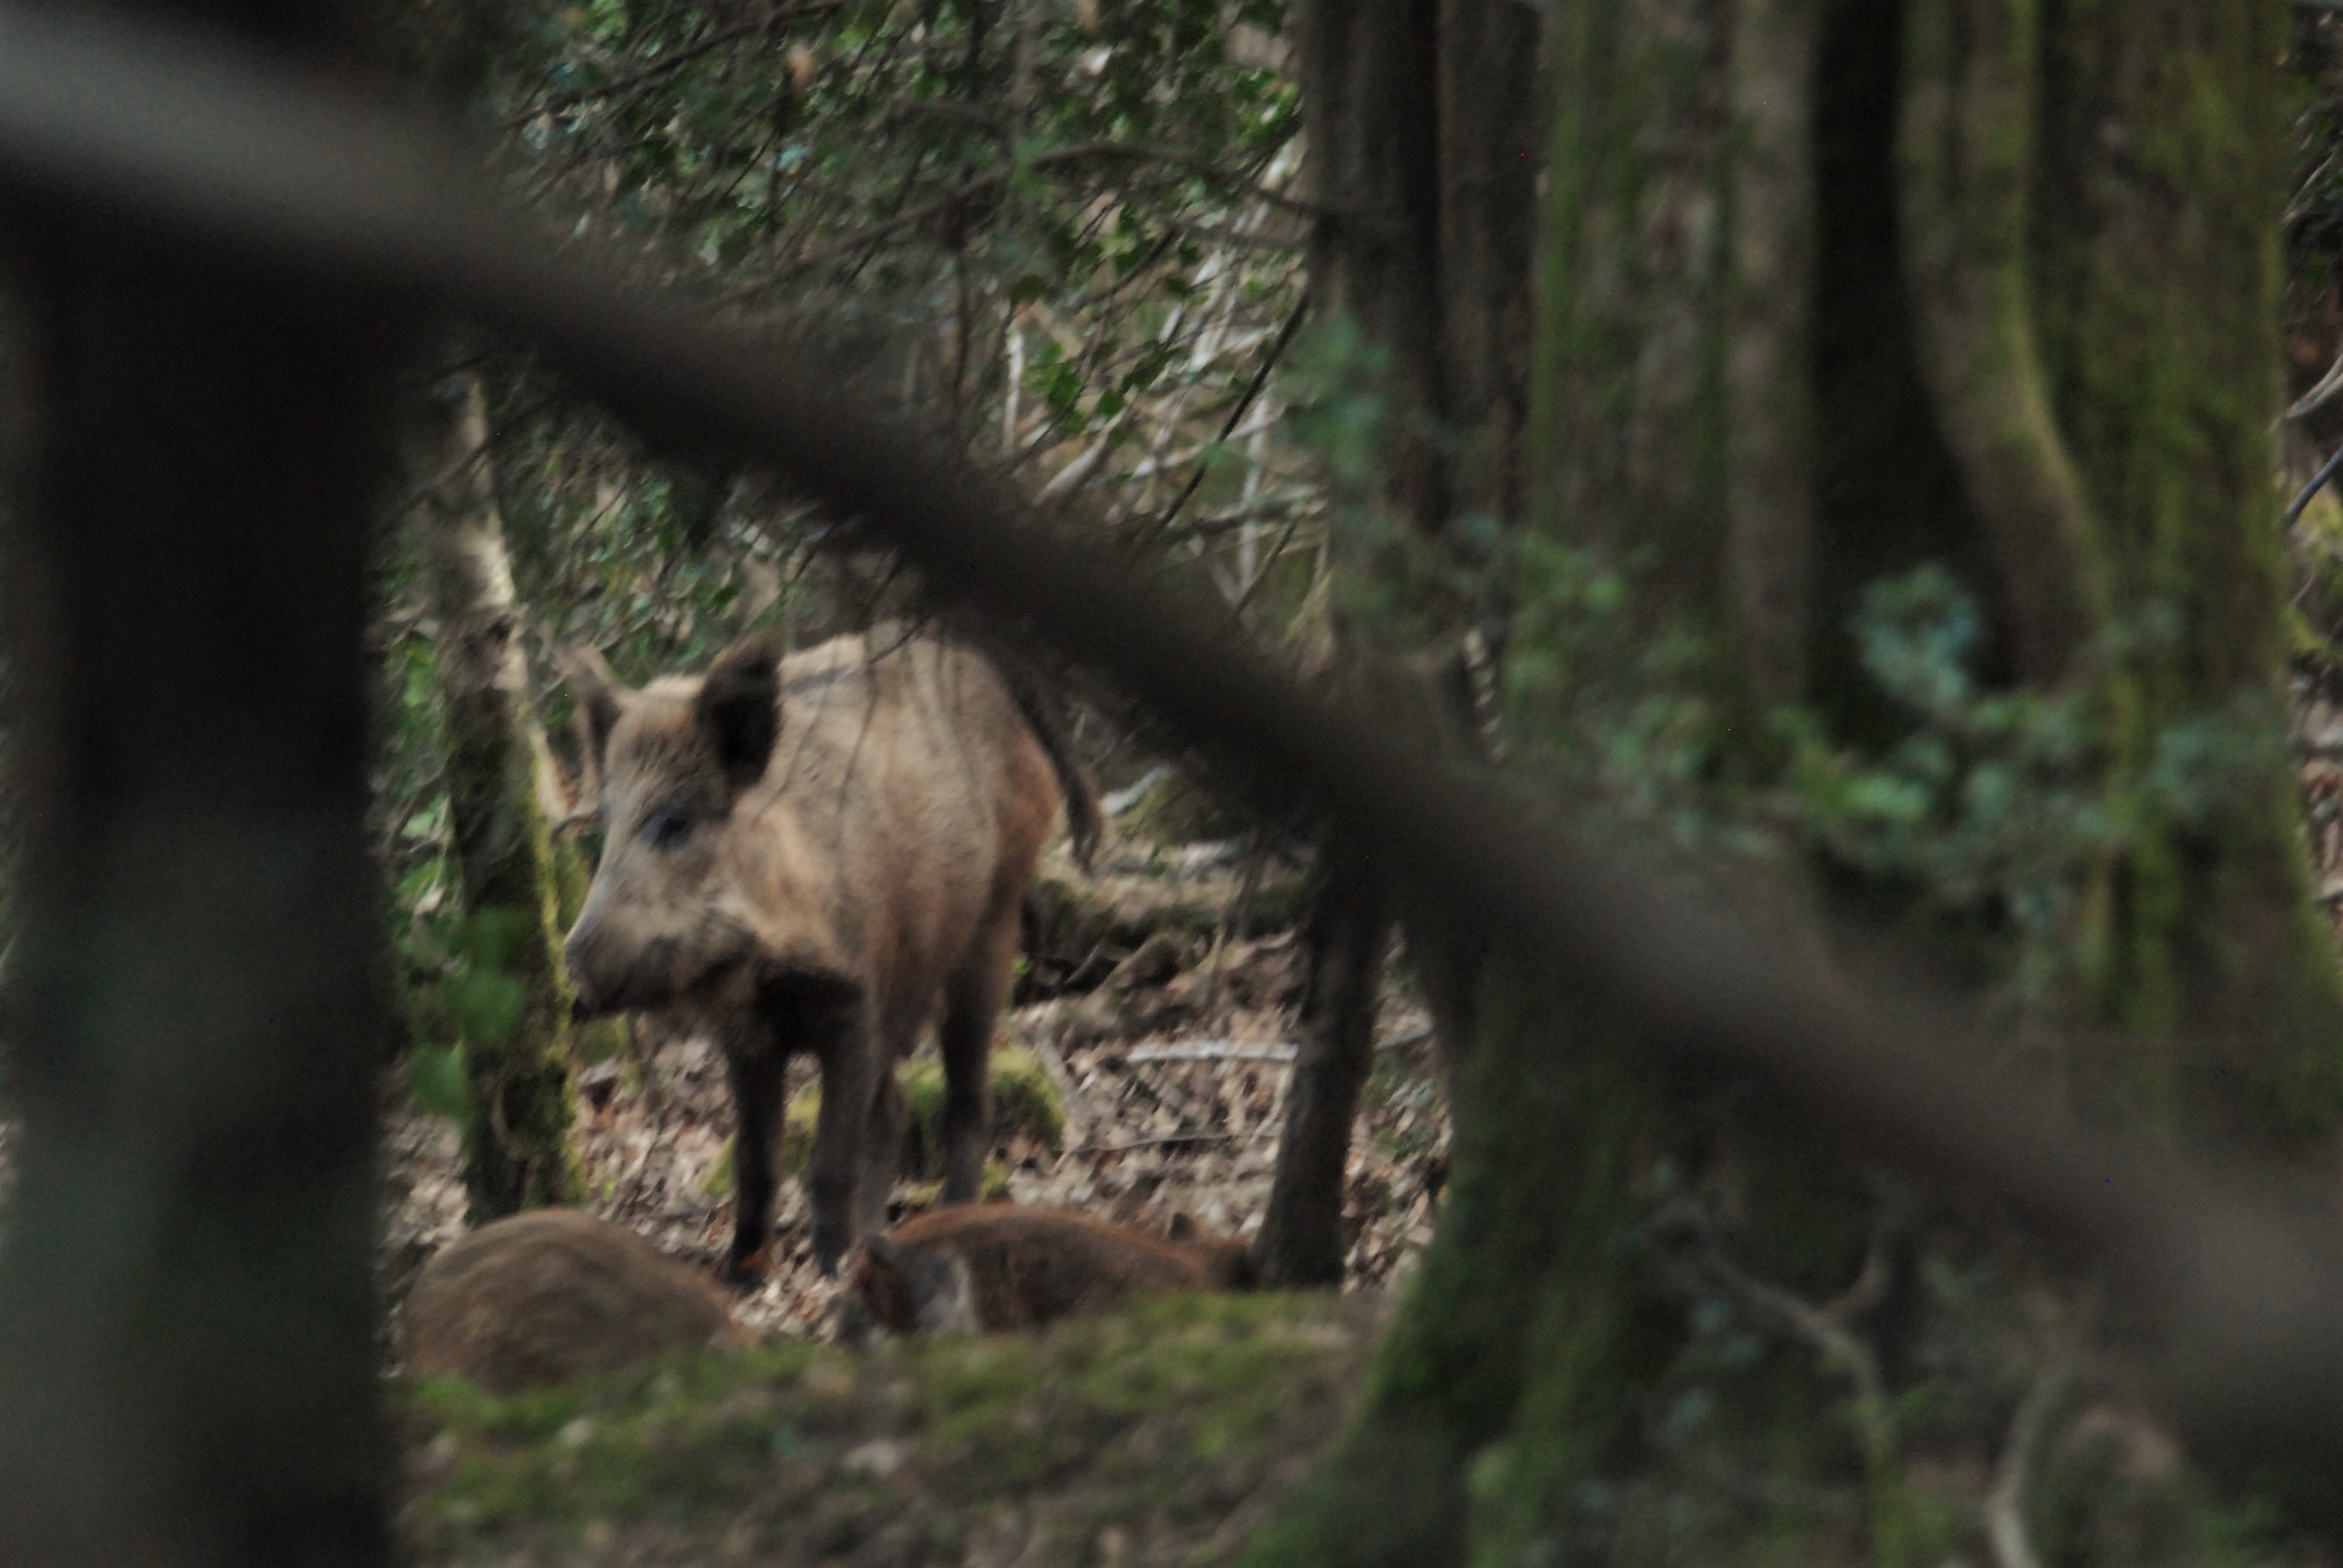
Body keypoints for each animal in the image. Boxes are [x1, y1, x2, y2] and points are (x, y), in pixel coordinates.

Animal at [561, 629, 1098, 1279]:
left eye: (676, 822)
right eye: (608, 823)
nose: (572, 958)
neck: (763, 972)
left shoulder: (855, 1003)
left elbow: (829, 1161)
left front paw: (829, 1270)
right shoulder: (746, 1037)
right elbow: (756, 1159)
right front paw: (739, 1272)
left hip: (994, 919)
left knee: (966, 1099)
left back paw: (946, 1217)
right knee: (893, 1109)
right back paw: (877, 1241)